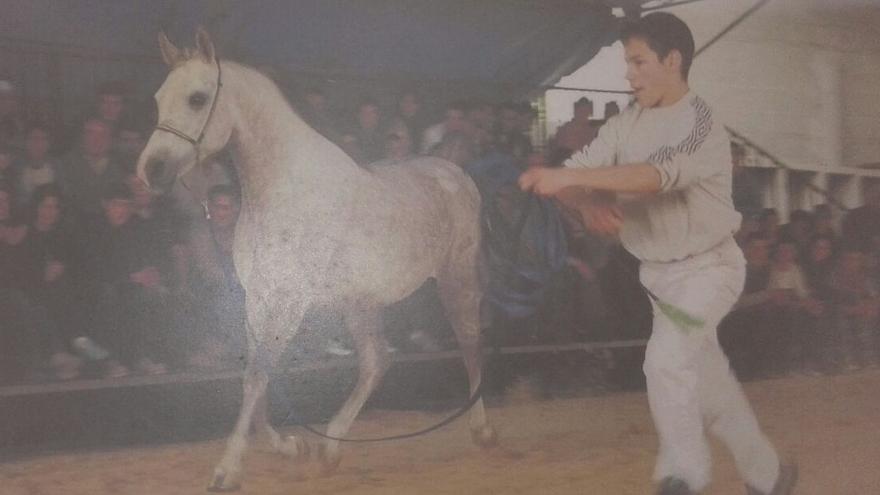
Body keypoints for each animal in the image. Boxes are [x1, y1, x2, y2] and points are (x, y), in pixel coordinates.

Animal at [138, 31, 496, 492]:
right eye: (159, 98)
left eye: (197, 98)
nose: (152, 170)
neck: (282, 190)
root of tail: (457, 174)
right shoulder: (258, 299)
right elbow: (257, 374)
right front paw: (291, 446)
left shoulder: (289, 302)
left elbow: (259, 376)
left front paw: (227, 470)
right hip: (361, 303)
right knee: (377, 362)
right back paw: (329, 449)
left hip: (456, 280)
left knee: (470, 345)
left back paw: (481, 431)